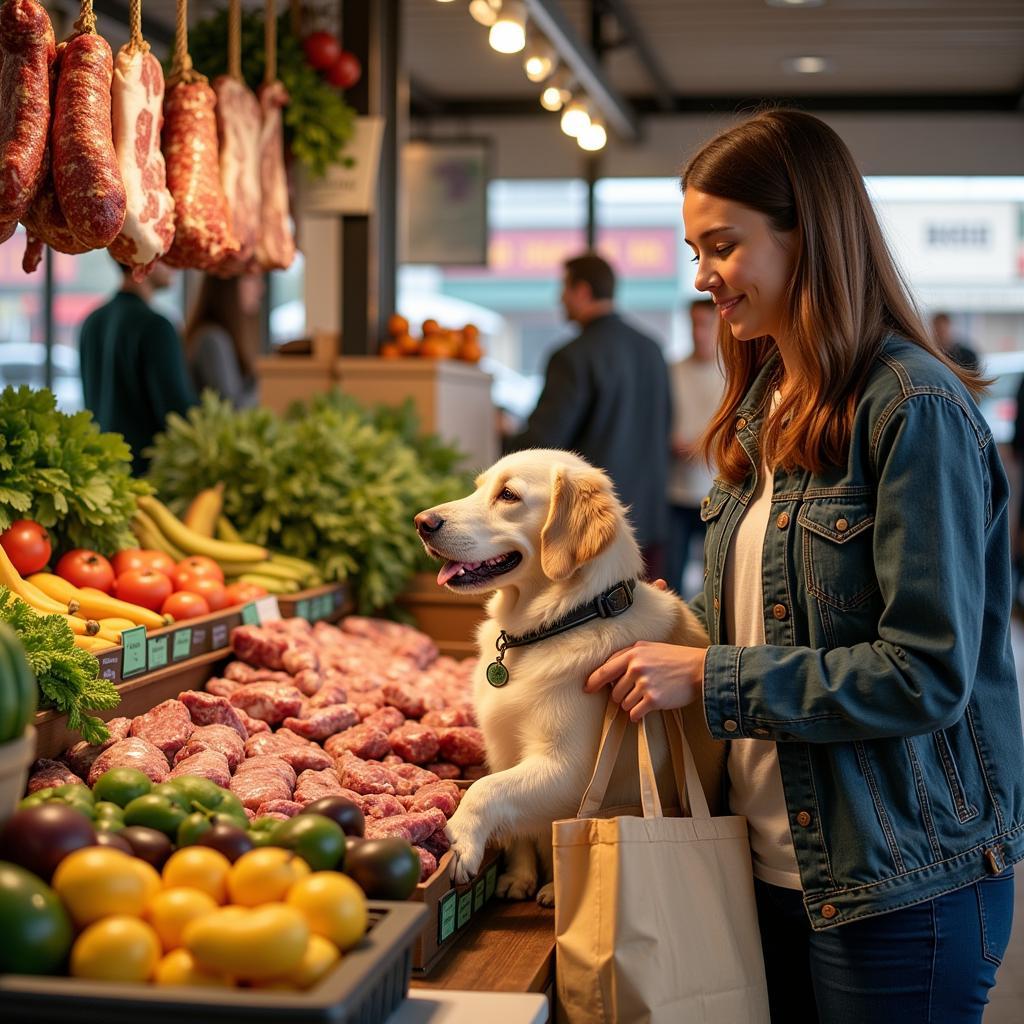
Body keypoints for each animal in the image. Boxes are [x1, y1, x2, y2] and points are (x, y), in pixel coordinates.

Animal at [411, 448, 724, 905]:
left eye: (508, 495)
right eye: (477, 488)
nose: (421, 522)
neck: (556, 624)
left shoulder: (568, 768)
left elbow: (487, 789)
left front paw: (465, 841)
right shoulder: (503, 750)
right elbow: (508, 812)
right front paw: (519, 876)